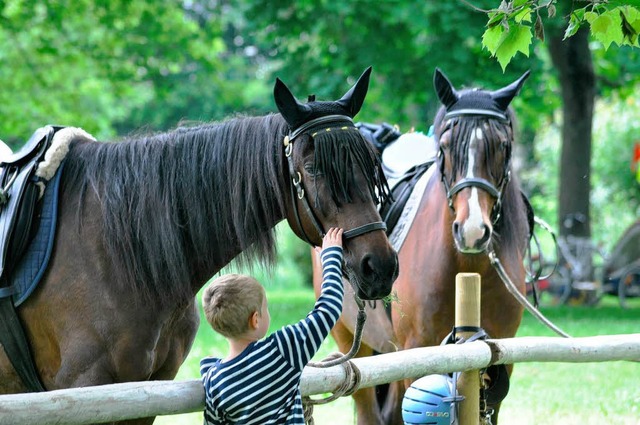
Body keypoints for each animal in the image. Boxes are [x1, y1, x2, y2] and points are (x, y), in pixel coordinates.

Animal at [0, 68, 398, 422]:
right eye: (313, 169)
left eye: (371, 166)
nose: (380, 267)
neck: (116, 255)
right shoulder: (83, 389)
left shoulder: (143, 396)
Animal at [314, 68, 528, 422]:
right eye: (445, 146)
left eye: (502, 145)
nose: (472, 230)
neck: (468, 270)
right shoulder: (416, 352)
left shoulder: (499, 355)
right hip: (352, 341)